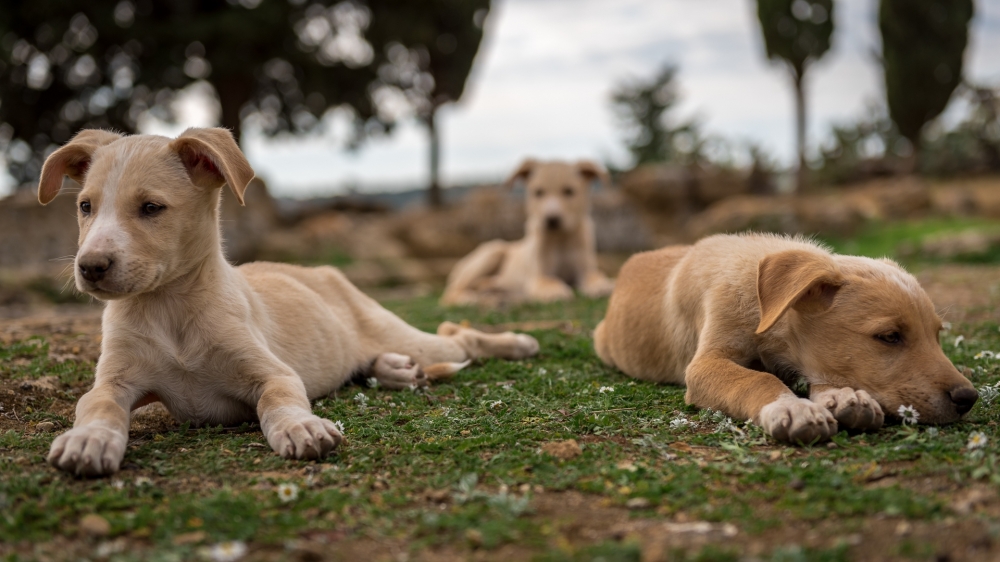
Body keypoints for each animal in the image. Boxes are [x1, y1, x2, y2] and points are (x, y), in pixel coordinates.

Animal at [41, 127, 540, 472]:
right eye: (85, 206)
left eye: (151, 208)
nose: (90, 267)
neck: (170, 309)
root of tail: (322, 271)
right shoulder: (114, 381)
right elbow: (98, 405)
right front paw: (89, 439)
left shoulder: (273, 373)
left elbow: (278, 400)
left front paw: (302, 426)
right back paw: (395, 370)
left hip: (414, 336)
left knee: (459, 337)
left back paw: (517, 342)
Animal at [440, 158, 612, 304]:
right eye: (538, 192)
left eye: (569, 191)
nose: (551, 219)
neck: (560, 238)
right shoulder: (539, 276)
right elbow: (550, 280)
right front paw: (554, 291)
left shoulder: (585, 270)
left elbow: (594, 277)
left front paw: (602, 285)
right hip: (493, 251)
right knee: (450, 293)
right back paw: (468, 298)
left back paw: (495, 292)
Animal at [592, 232, 976, 442]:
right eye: (890, 336)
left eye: (937, 335)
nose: (968, 398)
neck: (762, 302)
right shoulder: (704, 365)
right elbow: (755, 379)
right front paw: (793, 407)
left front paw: (845, 396)